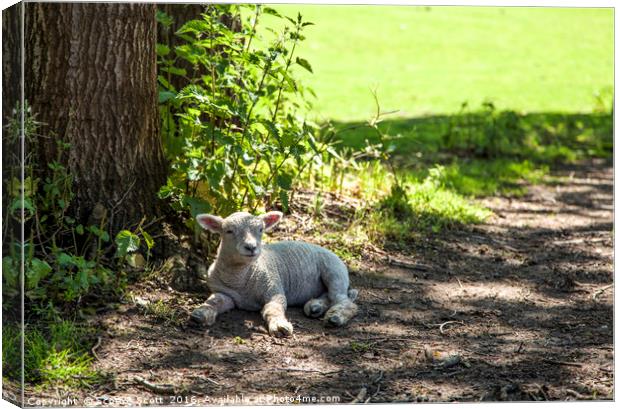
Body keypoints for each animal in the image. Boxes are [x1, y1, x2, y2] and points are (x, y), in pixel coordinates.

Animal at [189, 210, 358, 334]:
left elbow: (273, 308)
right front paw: (201, 313)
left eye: (261, 230)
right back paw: (316, 306)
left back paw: (336, 317)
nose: (251, 247)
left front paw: (279, 325)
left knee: (344, 300)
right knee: (331, 296)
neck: (240, 279)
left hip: (334, 271)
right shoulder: (225, 293)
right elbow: (215, 301)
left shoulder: (273, 288)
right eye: (229, 231)